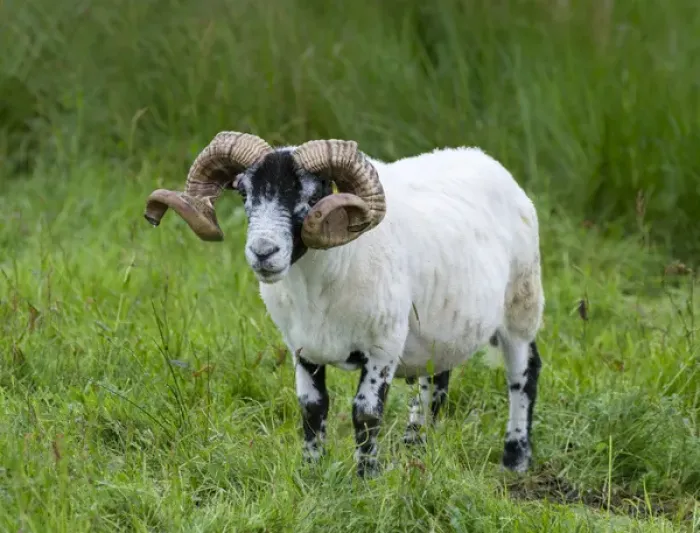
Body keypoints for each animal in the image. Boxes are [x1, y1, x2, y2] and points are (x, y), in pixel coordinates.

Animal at [143, 131, 545, 477]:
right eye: (244, 193)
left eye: (312, 195)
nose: (263, 252)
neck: (320, 283)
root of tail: (485, 159)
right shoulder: (302, 347)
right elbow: (312, 409)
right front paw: (311, 471)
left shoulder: (383, 347)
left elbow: (365, 413)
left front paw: (367, 476)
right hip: (441, 326)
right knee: (435, 381)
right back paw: (415, 447)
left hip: (521, 304)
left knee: (523, 374)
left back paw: (515, 459)